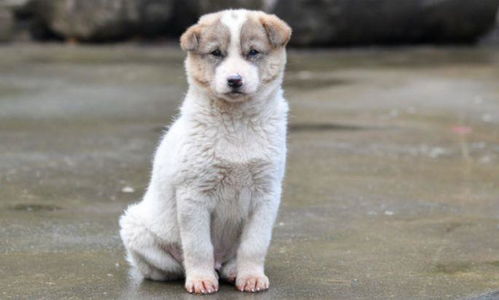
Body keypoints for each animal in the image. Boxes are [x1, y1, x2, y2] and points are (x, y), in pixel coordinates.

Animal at [120, 8, 292, 294]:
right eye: (216, 53)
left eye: (253, 52)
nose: (234, 80)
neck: (237, 122)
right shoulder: (194, 195)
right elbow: (198, 246)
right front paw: (200, 279)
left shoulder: (266, 193)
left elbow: (254, 244)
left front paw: (251, 276)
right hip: (135, 228)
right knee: (173, 265)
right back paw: (204, 272)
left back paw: (232, 271)